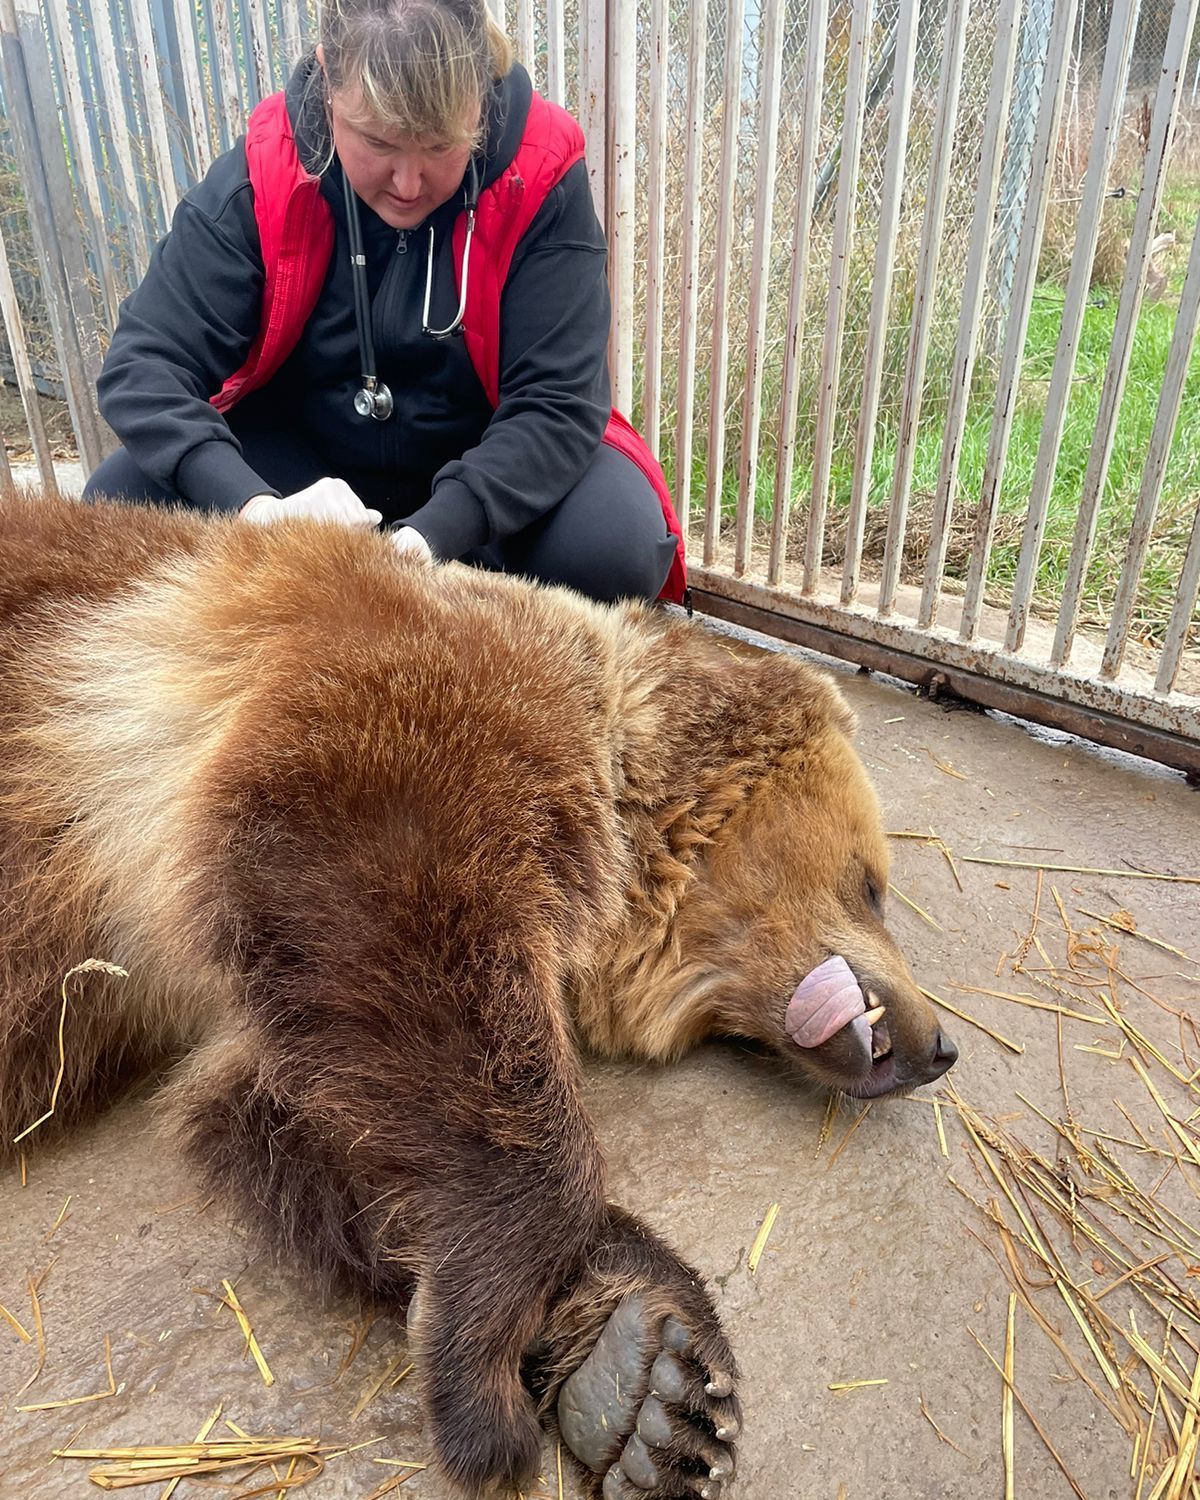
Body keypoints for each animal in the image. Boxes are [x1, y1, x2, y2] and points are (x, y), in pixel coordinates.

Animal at [0, 495, 954, 1500]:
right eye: (873, 885)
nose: (942, 1047)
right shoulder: (392, 712)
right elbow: (402, 927)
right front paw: (488, 1380)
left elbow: (307, 1104)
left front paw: (656, 1378)